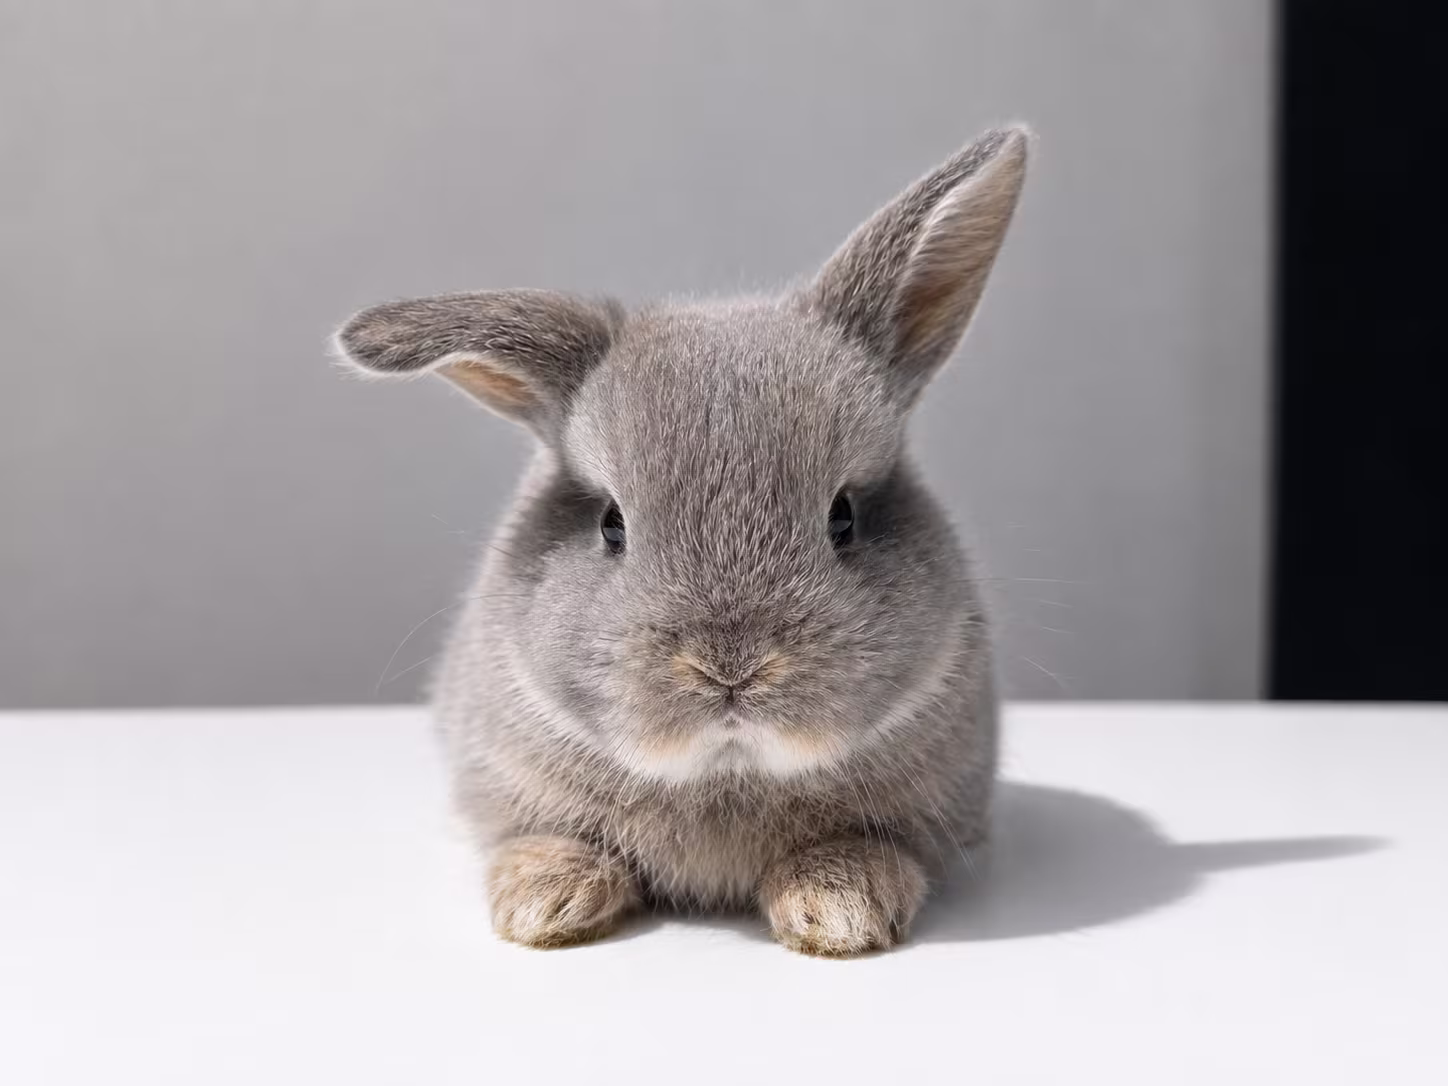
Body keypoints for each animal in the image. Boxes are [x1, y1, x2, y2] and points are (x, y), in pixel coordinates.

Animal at [334, 126, 1029, 956]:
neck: (724, 776)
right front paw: (545, 906)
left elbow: (864, 847)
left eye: (844, 517)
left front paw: (839, 912)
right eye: (611, 523)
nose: (730, 667)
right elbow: (542, 840)